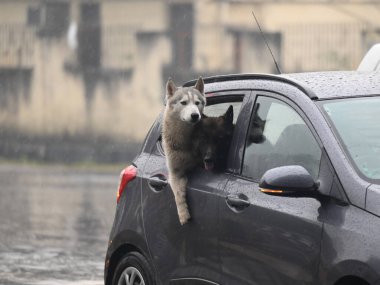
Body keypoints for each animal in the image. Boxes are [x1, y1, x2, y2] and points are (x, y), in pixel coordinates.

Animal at [162, 75, 206, 224]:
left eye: (197, 103)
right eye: (184, 103)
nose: (195, 115)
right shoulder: (175, 172)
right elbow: (177, 194)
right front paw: (183, 214)